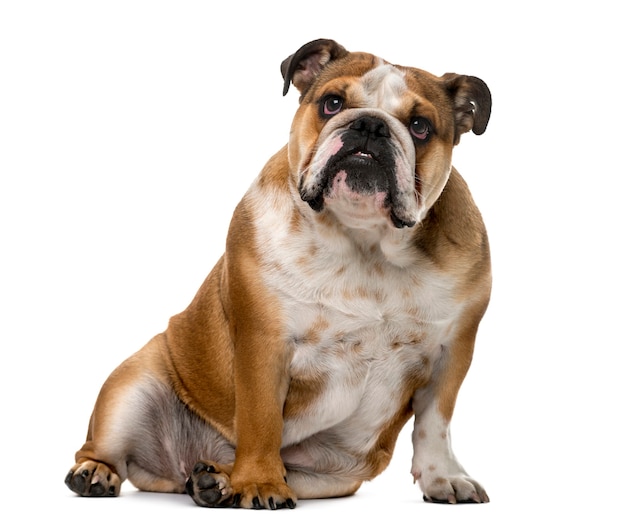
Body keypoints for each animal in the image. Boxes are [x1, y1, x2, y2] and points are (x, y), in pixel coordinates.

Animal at [66, 38, 490, 512]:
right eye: (332, 103)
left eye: (419, 126)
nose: (370, 125)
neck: (364, 243)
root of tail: (177, 470)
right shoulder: (264, 342)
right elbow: (261, 418)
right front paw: (260, 482)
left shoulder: (452, 353)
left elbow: (435, 423)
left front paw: (444, 477)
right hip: (131, 387)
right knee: (101, 447)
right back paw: (99, 472)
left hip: (339, 472)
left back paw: (216, 481)